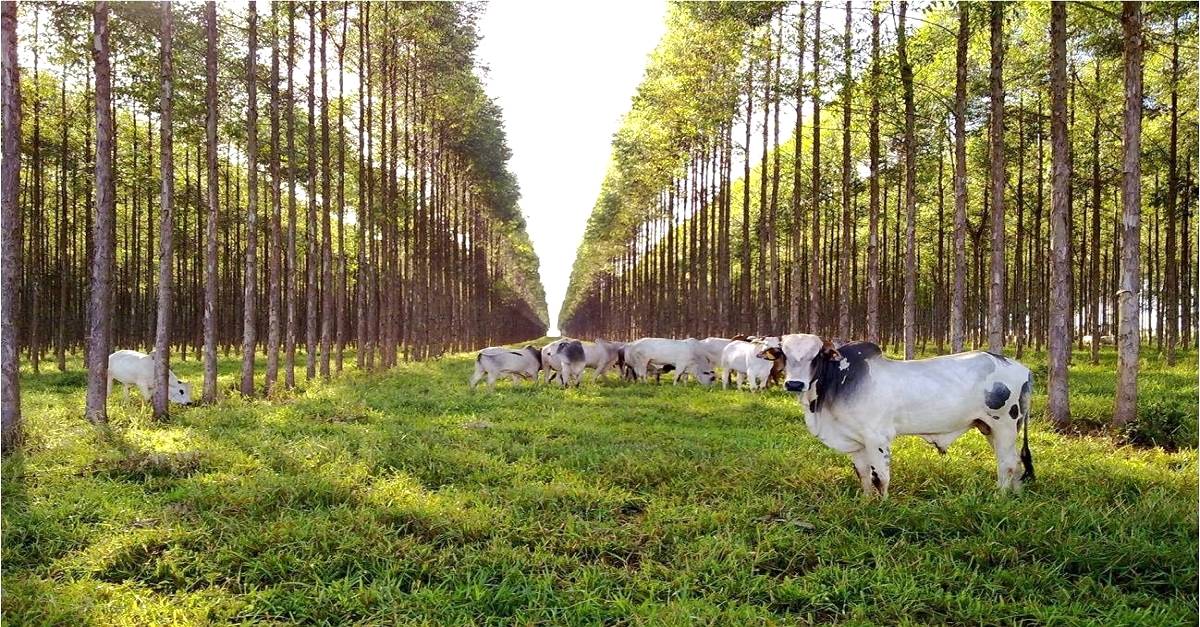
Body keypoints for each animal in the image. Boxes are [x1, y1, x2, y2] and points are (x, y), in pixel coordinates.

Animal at [777, 333, 1032, 494]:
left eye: (817, 355)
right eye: (784, 355)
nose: (794, 384)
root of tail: (1024, 369)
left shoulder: (877, 438)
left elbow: (880, 478)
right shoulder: (856, 442)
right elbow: (864, 476)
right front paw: (866, 503)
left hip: (1004, 424)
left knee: (1008, 463)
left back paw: (1000, 497)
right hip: (990, 428)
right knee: (1015, 463)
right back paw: (1016, 496)